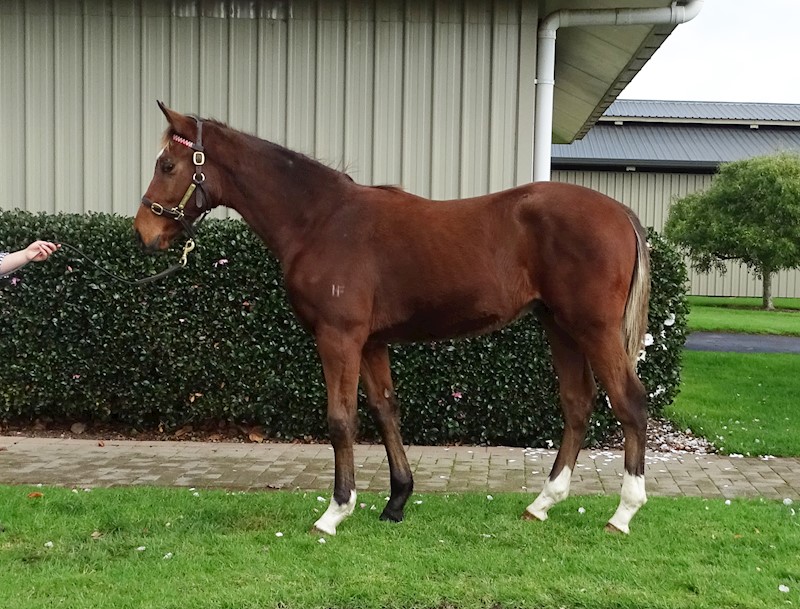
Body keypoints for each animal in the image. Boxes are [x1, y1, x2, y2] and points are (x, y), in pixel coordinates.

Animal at [134, 102, 651, 536]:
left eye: (168, 165)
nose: (144, 231)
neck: (320, 220)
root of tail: (621, 213)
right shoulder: (371, 342)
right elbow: (385, 412)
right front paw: (396, 502)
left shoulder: (339, 337)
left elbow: (340, 419)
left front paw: (335, 512)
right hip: (559, 326)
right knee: (577, 404)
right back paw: (543, 503)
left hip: (594, 329)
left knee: (630, 402)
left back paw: (623, 513)